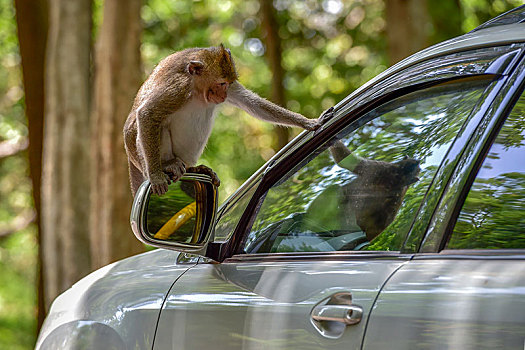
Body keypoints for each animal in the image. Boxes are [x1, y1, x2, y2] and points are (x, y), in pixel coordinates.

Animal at [123, 44, 322, 196]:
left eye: (228, 83)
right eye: (221, 83)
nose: (224, 94)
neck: (197, 90)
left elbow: (253, 103)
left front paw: (307, 122)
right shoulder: (178, 87)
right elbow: (148, 114)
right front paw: (156, 176)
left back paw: (194, 169)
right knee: (153, 126)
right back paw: (167, 165)